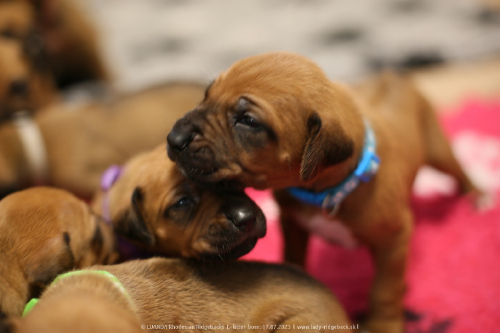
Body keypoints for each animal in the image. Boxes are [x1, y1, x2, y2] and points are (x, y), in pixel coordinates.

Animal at [166, 50, 478, 330]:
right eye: (207, 94)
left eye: (249, 121)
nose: (173, 138)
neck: (323, 191)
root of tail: (392, 74)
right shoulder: (292, 223)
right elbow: (293, 257)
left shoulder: (395, 237)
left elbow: (384, 290)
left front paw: (384, 324)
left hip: (437, 146)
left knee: (459, 172)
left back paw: (477, 197)